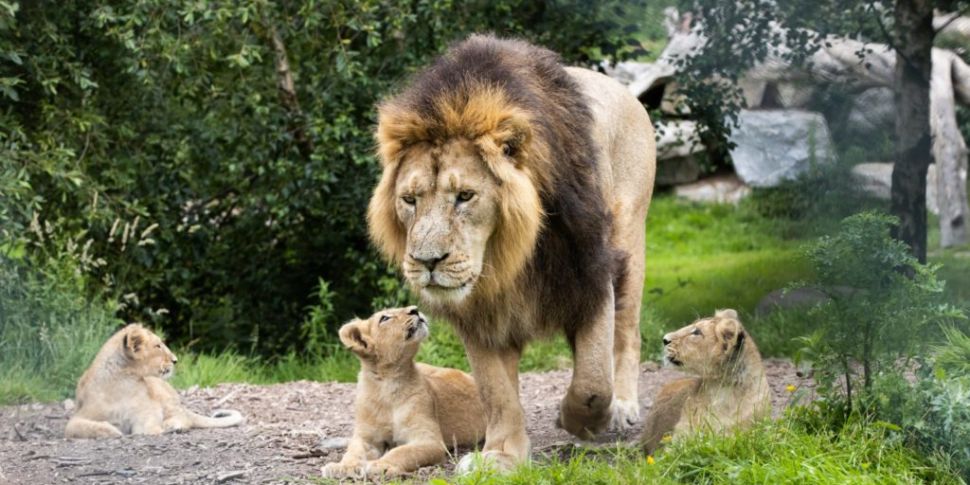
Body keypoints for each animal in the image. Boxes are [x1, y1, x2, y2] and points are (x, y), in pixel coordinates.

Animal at [366, 35, 656, 468]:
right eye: (409, 200)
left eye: (465, 196)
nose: (428, 262)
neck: (508, 257)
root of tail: (625, 91)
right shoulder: (479, 312)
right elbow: (496, 391)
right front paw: (500, 456)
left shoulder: (589, 274)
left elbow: (592, 379)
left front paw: (580, 420)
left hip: (630, 240)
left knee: (627, 333)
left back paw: (622, 407)